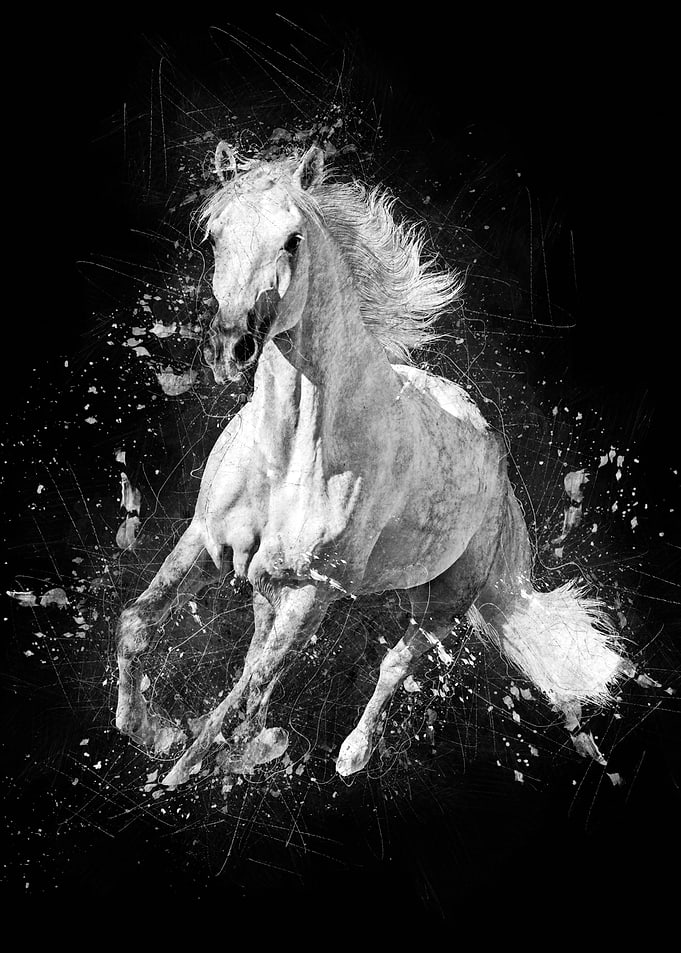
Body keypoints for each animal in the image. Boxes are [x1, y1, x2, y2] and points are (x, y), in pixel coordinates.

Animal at [115, 144, 626, 788]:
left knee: (391, 665)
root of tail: (498, 469)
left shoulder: (314, 592)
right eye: (215, 235)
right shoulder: (207, 541)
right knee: (261, 653)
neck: (288, 459)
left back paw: (350, 755)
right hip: (272, 584)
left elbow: (244, 693)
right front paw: (151, 731)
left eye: (292, 240)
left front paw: (182, 770)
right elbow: (137, 624)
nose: (229, 348)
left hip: (440, 605)